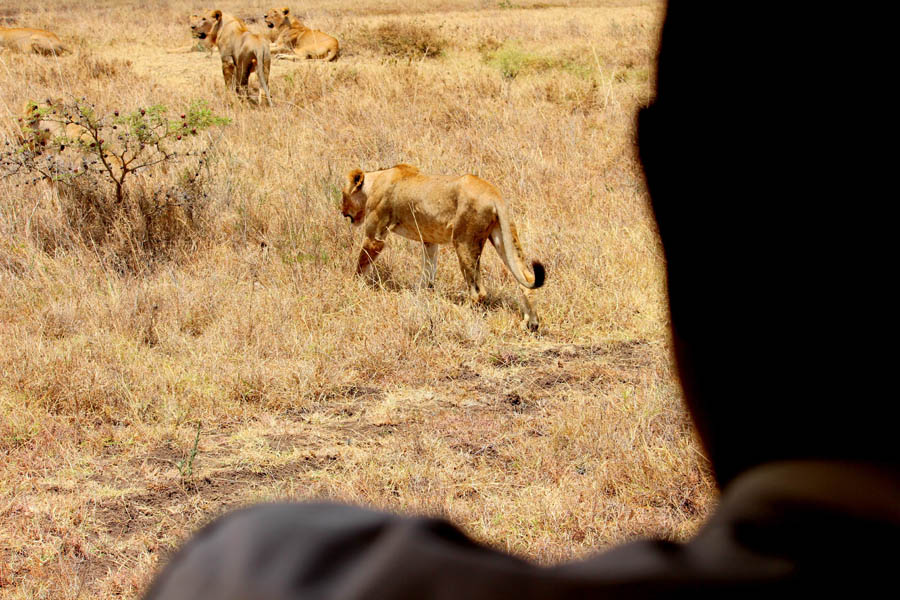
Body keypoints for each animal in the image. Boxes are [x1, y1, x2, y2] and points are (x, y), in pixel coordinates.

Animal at [342, 164, 544, 330]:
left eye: (343, 196)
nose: (341, 211)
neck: (375, 181)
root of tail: (494, 193)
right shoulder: (429, 240)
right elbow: (428, 271)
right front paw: (421, 293)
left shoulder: (375, 236)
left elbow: (361, 264)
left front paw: (353, 286)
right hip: (502, 236)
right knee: (526, 278)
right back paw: (531, 323)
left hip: (464, 241)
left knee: (478, 292)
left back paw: (461, 314)